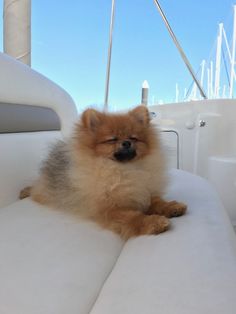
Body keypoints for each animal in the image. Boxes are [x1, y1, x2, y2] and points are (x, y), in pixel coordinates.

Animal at [20, 104, 186, 239]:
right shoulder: (111, 208)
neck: (124, 169)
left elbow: (158, 202)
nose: (127, 142)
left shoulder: (145, 191)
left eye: (133, 138)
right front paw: (153, 222)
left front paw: (171, 207)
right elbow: (133, 217)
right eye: (112, 139)